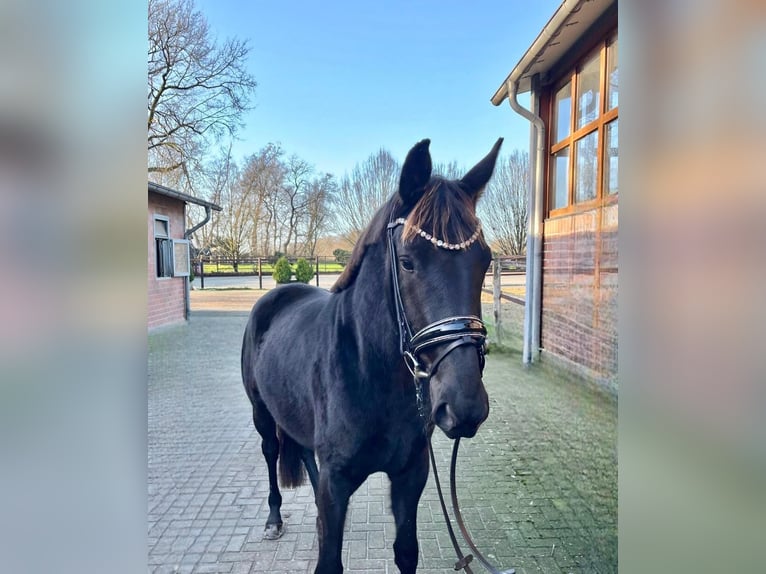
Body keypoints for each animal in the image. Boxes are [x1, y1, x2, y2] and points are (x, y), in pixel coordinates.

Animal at [242, 140, 504, 574]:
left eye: (484, 260)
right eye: (408, 261)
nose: (464, 405)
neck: (370, 372)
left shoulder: (410, 474)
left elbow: (406, 551)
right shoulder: (336, 484)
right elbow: (329, 561)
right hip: (261, 413)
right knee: (270, 452)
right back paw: (273, 519)